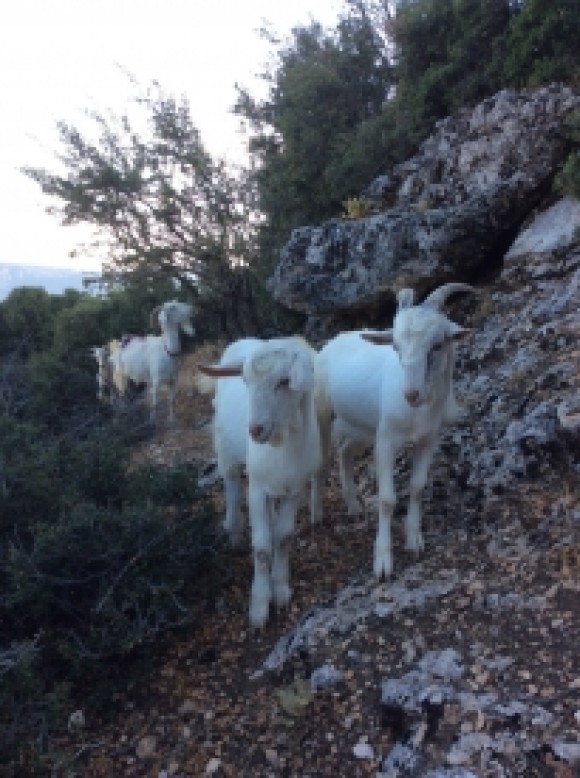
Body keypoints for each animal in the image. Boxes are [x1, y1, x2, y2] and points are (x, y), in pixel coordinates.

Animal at [199, 336, 324, 628]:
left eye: (284, 381)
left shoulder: (295, 490)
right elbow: (263, 548)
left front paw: (280, 590)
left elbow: (284, 537)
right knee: (232, 491)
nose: (255, 430)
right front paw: (259, 607)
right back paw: (233, 533)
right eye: (245, 380)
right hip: (226, 454)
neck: (283, 448)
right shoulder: (256, 488)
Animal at [318, 284, 476, 576]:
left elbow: (417, 487)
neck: (417, 413)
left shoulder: (427, 440)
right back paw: (317, 514)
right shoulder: (386, 442)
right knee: (322, 462)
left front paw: (414, 540)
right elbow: (387, 499)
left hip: (362, 426)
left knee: (345, 451)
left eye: (437, 345)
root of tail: (334, 340)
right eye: (395, 346)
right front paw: (383, 561)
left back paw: (353, 506)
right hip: (323, 414)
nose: (411, 394)